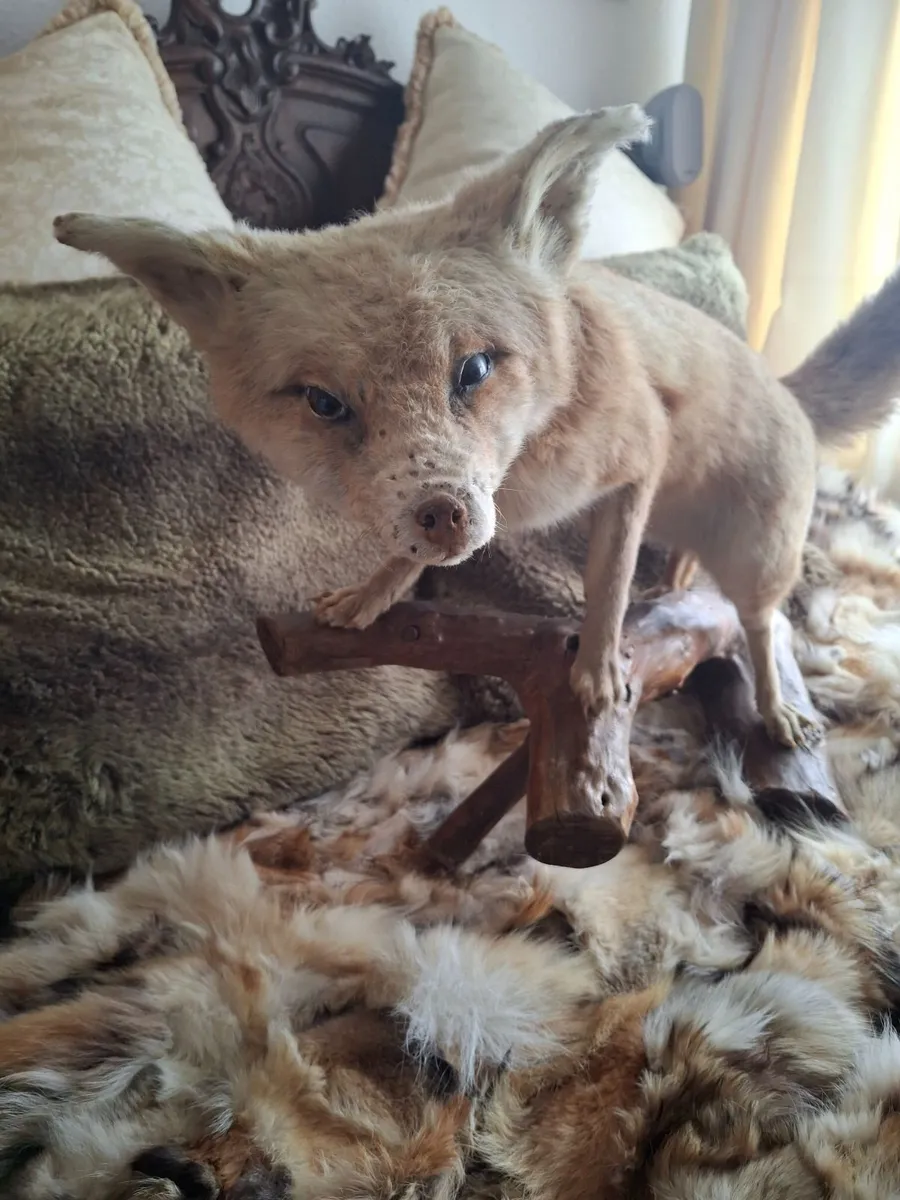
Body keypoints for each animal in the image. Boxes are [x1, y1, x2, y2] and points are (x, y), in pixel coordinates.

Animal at [53, 104, 900, 805]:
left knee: (763, 628)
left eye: (475, 369)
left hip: (760, 560)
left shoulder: (636, 465)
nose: (446, 514)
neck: (525, 475)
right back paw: (681, 586)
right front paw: (369, 597)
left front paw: (598, 668)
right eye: (325, 402)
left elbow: (607, 587)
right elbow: (406, 564)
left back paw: (777, 708)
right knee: (697, 574)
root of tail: (787, 390)